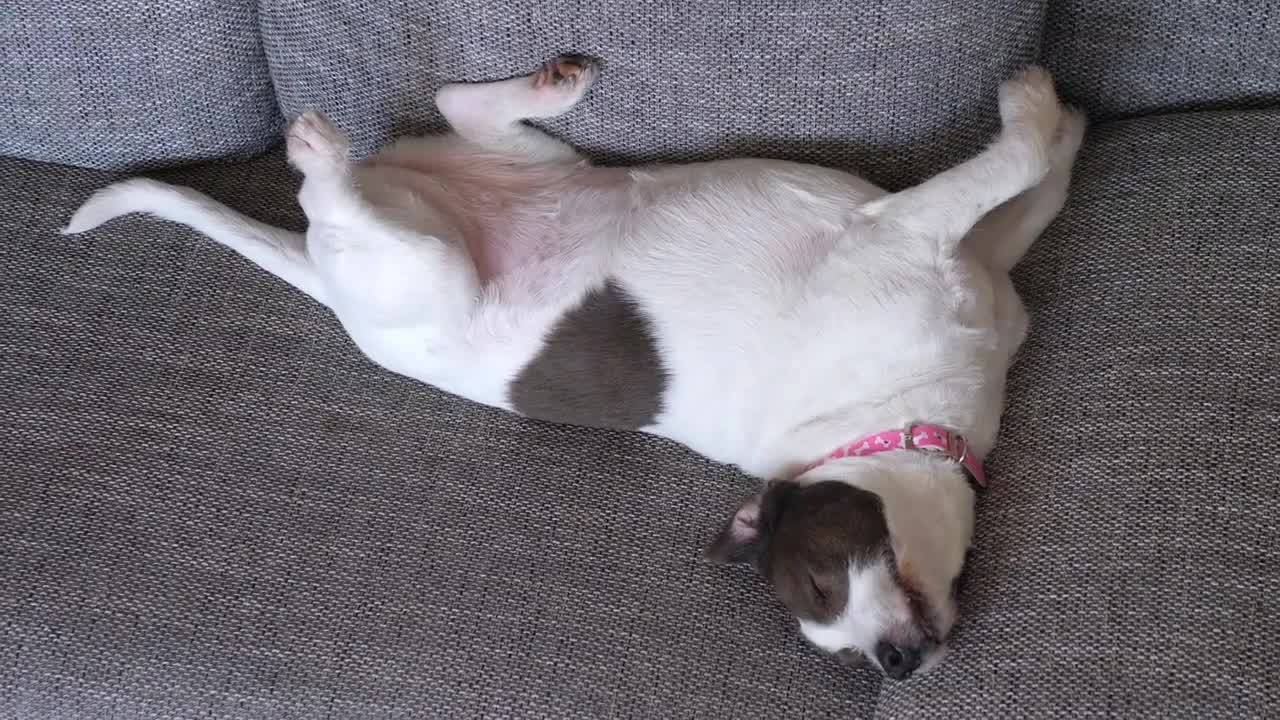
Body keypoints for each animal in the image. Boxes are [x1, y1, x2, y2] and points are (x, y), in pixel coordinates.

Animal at [64, 57, 1085, 676]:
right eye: (825, 594)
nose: (894, 666)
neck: (886, 419)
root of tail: (326, 275)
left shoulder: (981, 264)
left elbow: (1035, 195)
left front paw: (1068, 127)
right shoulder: (905, 228)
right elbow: (1013, 165)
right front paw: (1036, 107)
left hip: (522, 161)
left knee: (459, 111)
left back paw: (544, 86)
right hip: (430, 270)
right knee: (334, 191)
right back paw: (321, 152)